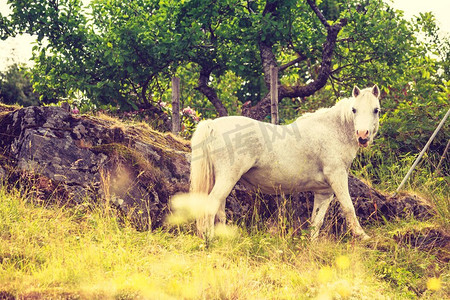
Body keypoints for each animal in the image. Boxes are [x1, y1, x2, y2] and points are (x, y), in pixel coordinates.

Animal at [172, 85, 380, 239]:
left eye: (376, 110)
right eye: (354, 110)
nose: (362, 136)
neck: (332, 131)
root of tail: (213, 125)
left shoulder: (324, 192)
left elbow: (316, 222)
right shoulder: (337, 178)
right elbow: (349, 207)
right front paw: (363, 237)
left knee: (219, 210)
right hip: (227, 178)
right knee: (210, 205)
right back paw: (209, 239)